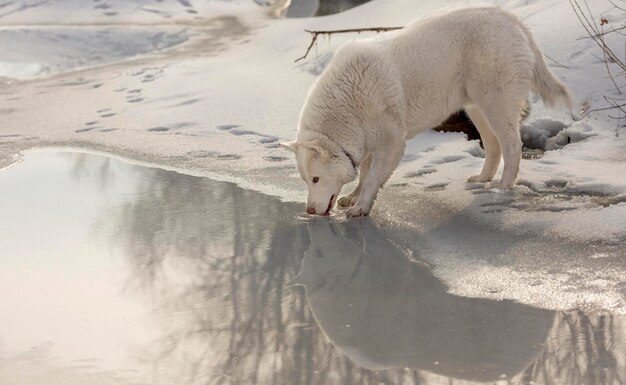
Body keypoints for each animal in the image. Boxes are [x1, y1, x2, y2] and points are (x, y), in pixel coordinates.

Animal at [280, 6, 568, 216]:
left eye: (316, 179)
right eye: (306, 180)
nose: (309, 211)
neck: (347, 105)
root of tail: (511, 18)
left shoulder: (392, 143)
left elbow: (372, 178)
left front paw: (361, 207)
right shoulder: (368, 143)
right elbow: (363, 174)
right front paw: (352, 197)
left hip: (496, 103)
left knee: (511, 145)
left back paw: (504, 186)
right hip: (476, 107)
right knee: (493, 146)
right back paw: (483, 178)